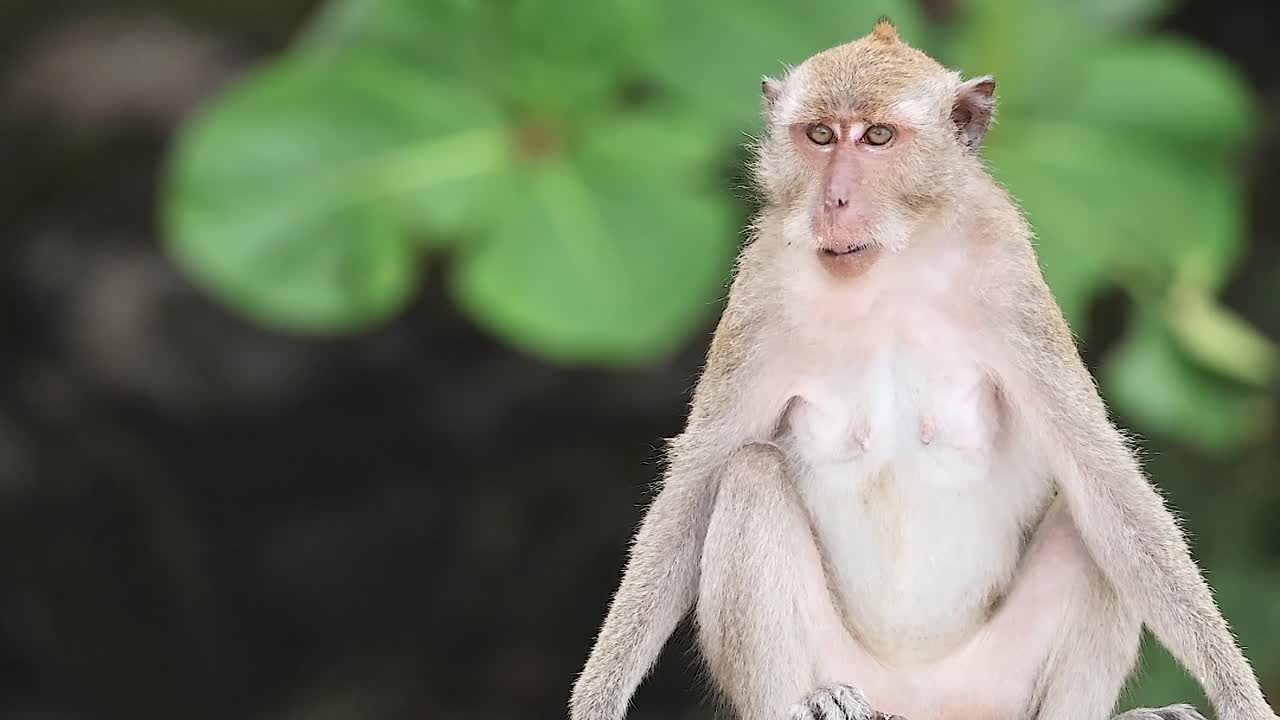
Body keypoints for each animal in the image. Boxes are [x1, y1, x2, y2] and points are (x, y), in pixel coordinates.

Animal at [569, 18, 1277, 720]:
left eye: (878, 136)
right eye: (820, 135)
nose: (834, 199)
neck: (892, 266)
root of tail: (918, 697)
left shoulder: (1009, 276)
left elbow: (1103, 481)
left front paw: (1240, 699)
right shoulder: (761, 290)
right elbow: (692, 493)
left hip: (994, 687)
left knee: (1088, 518)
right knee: (750, 477)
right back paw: (811, 702)